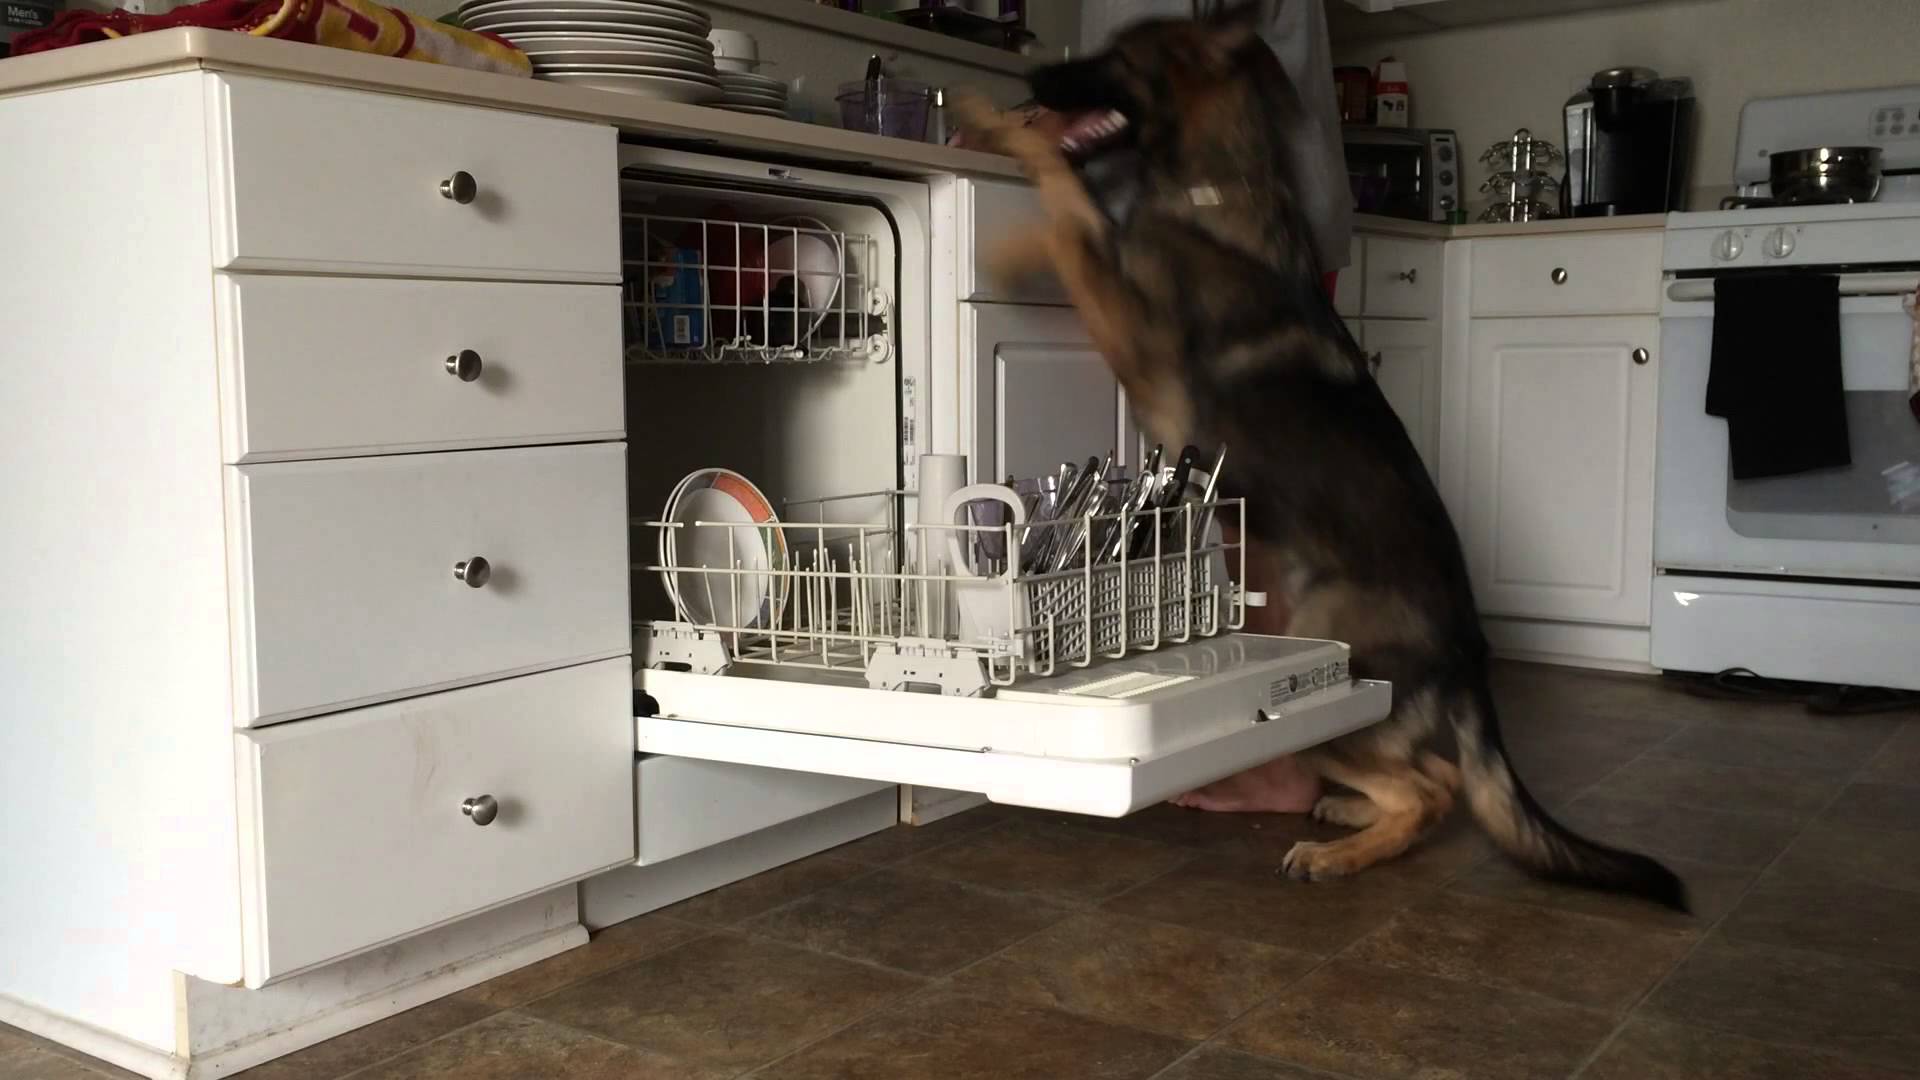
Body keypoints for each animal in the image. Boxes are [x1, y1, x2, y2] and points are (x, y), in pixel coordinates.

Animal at [952, 6, 1689, 907]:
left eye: (1116, 56)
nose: (1029, 78)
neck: (1207, 191)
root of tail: (1469, 661)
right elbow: (1074, 205)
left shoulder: (1127, 321)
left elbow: (1067, 198)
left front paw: (993, 152)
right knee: (1436, 778)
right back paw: (1348, 814)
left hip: (1331, 673)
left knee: (1430, 791)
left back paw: (1338, 852)